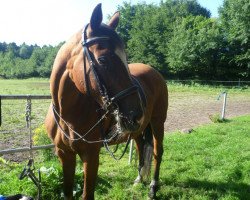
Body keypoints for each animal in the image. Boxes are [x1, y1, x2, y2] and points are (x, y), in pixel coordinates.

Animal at [45, 3, 168, 200]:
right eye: (102, 59)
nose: (136, 113)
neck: (69, 116)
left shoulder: (91, 155)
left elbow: (87, 194)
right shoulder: (64, 154)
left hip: (157, 122)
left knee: (157, 152)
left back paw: (153, 187)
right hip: (138, 129)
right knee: (141, 146)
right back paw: (139, 179)